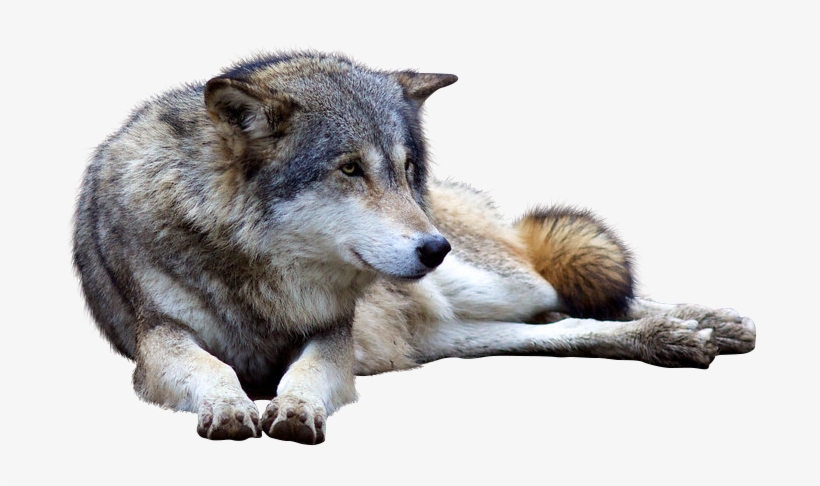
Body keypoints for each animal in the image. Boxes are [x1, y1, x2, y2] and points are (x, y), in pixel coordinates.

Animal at [73, 51, 756, 445]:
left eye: (404, 169)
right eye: (349, 169)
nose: (435, 248)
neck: (258, 272)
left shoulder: (333, 334)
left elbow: (308, 374)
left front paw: (293, 408)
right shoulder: (158, 340)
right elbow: (211, 367)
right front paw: (230, 406)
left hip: (492, 285)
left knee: (580, 293)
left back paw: (709, 326)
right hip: (452, 334)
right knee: (566, 324)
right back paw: (680, 338)